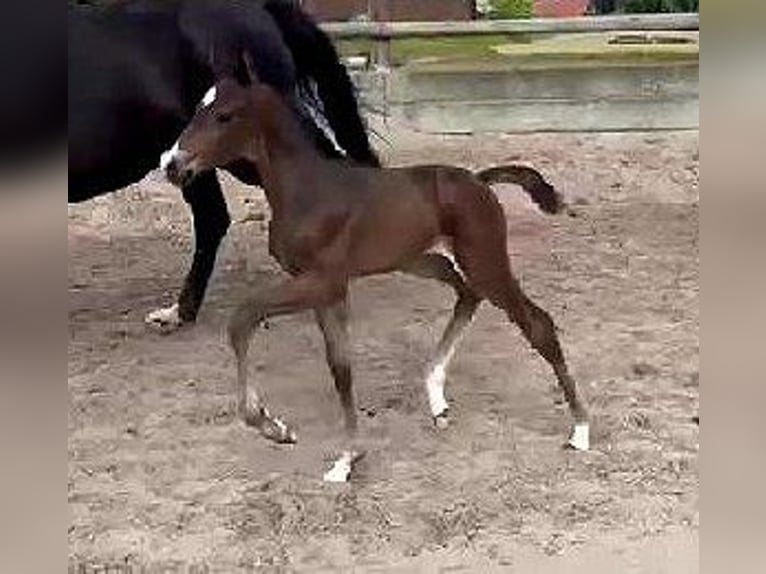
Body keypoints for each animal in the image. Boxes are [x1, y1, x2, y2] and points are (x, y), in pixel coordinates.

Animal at [164, 58, 592, 484]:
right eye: (197, 108)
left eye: (224, 115)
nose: (172, 165)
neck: (308, 190)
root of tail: (479, 180)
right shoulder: (325, 291)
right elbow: (340, 367)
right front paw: (346, 457)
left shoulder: (325, 282)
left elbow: (245, 318)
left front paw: (274, 427)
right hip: (421, 261)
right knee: (467, 294)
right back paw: (436, 397)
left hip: (484, 261)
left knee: (537, 322)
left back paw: (580, 429)